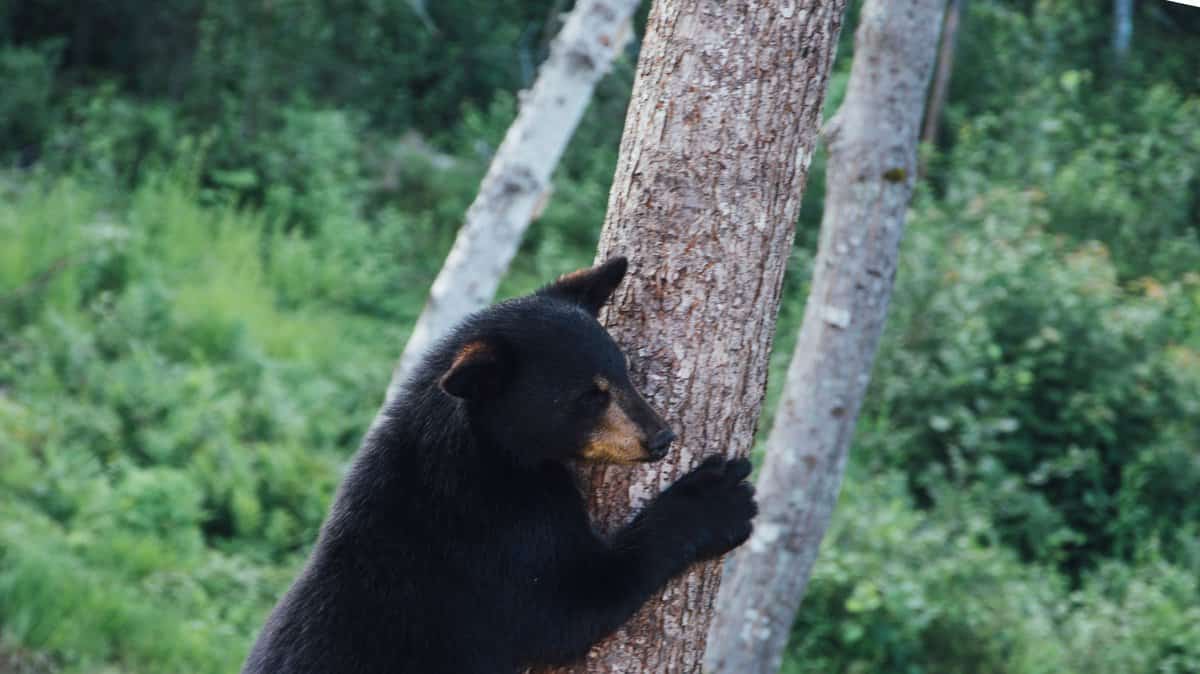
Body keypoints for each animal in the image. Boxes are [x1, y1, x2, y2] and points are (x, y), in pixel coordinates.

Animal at [242, 257, 757, 674]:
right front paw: (718, 499)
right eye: (588, 396)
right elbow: (567, 605)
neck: (488, 449)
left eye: (624, 371)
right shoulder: (489, 536)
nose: (661, 437)